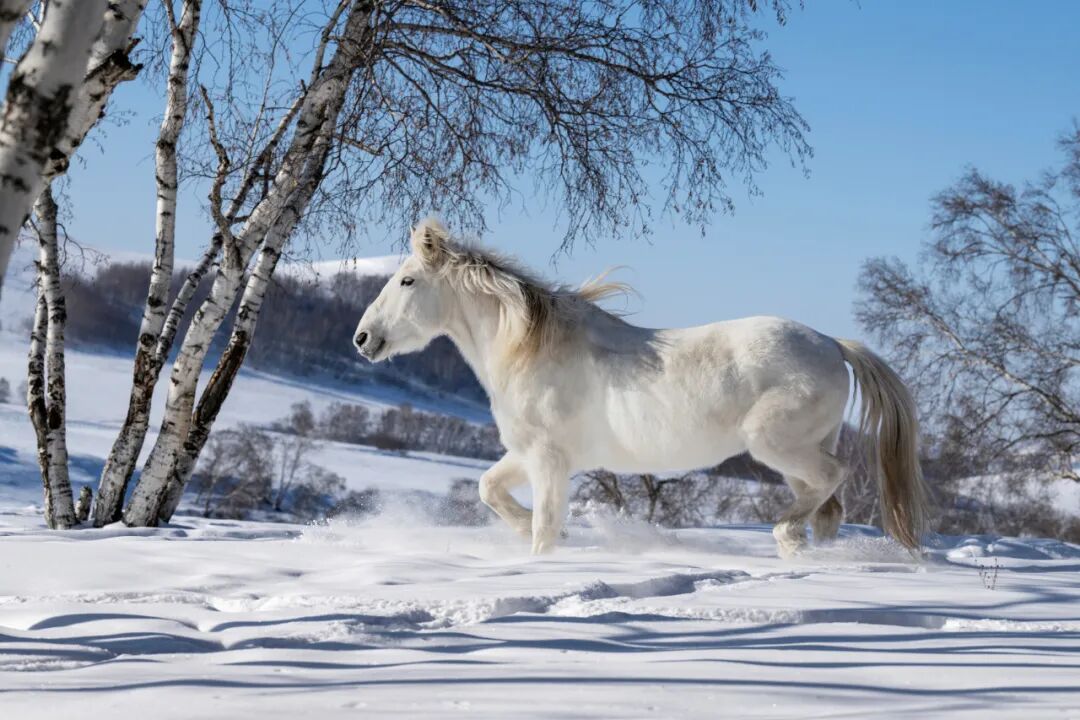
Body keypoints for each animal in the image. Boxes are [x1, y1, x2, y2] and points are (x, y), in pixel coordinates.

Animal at [353, 219, 929, 557]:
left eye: (406, 280)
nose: (363, 338)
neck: (530, 348)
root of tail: (833, 344)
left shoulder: (549, 460)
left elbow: (545, 527)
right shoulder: (530, 454)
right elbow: (488, 488)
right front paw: (521, 531)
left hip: (776, 444)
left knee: (833, 479)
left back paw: (786, 533)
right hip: (800, 451)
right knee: (828, 507)